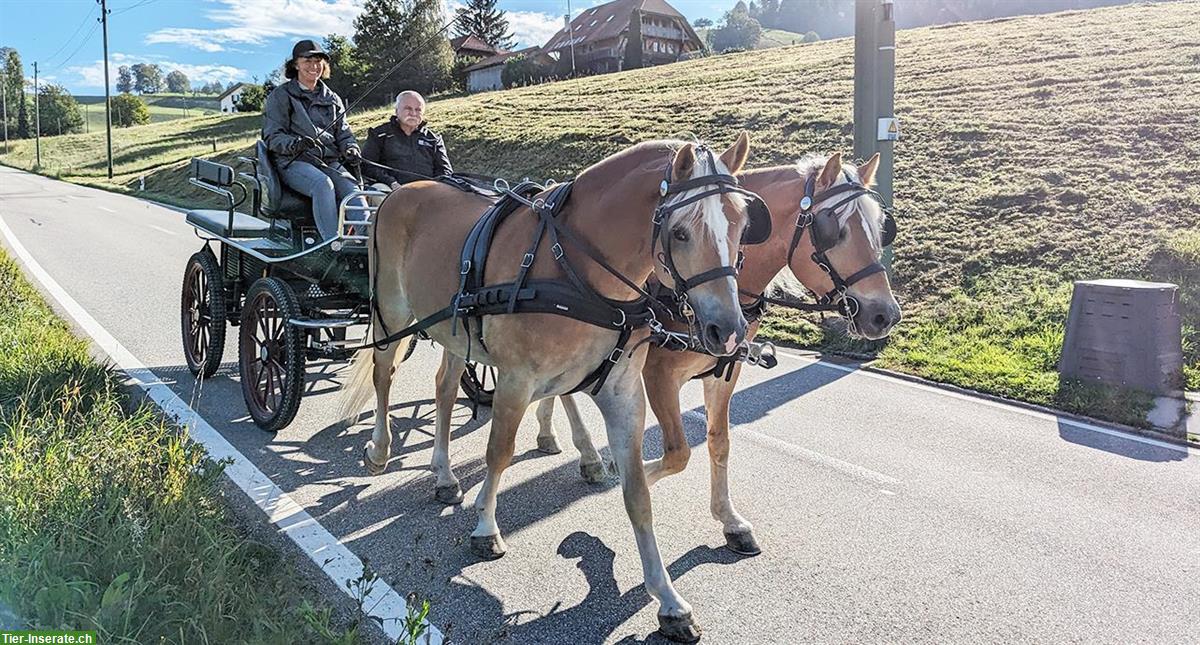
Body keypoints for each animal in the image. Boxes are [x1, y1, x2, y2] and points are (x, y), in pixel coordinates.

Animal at [340, 133, 768, 637]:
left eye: (741, 226)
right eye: (681, 232)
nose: (730, 331)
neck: (576, 269)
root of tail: (395, 193)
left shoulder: (624, 391)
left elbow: (639, 493)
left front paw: (667, 598)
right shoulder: (516, 380)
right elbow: (499, 452)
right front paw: (485, 528)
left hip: (452, 329)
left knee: (444, 388)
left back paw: (444, 475)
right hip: (392, 312)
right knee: (383, 373)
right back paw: (380, 449)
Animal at [535, 149, 902, 551]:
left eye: (881, 227)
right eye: (835, 230)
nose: (885, 314)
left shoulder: (725, 371)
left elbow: (719, 442)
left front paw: (729, 520)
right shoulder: (658, 374)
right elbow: (678, 453)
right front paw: (635, 473)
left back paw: (551, 434)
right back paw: (587, 454)